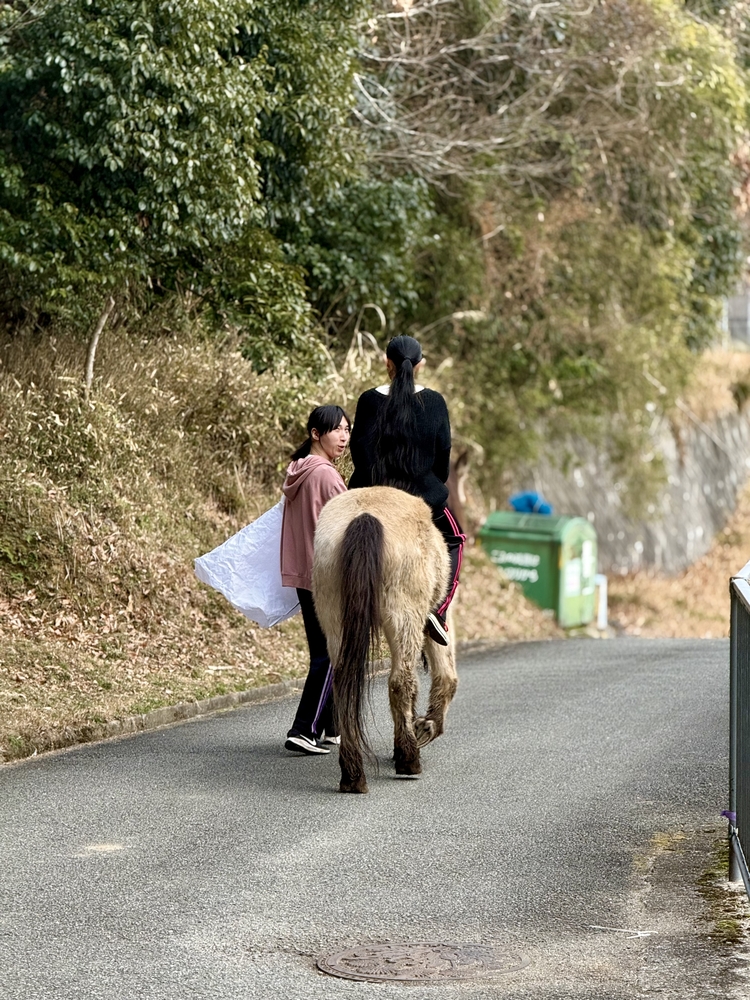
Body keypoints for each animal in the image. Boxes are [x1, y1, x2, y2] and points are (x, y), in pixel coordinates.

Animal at [312, 486, 459, 794]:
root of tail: (364, 517)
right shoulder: (434, 621)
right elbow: (446, 676)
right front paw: (426, 727)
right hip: (406, 618)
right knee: (401, 682)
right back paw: (408, 760)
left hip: (335, 619)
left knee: (342, 686)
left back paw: (353, 776)